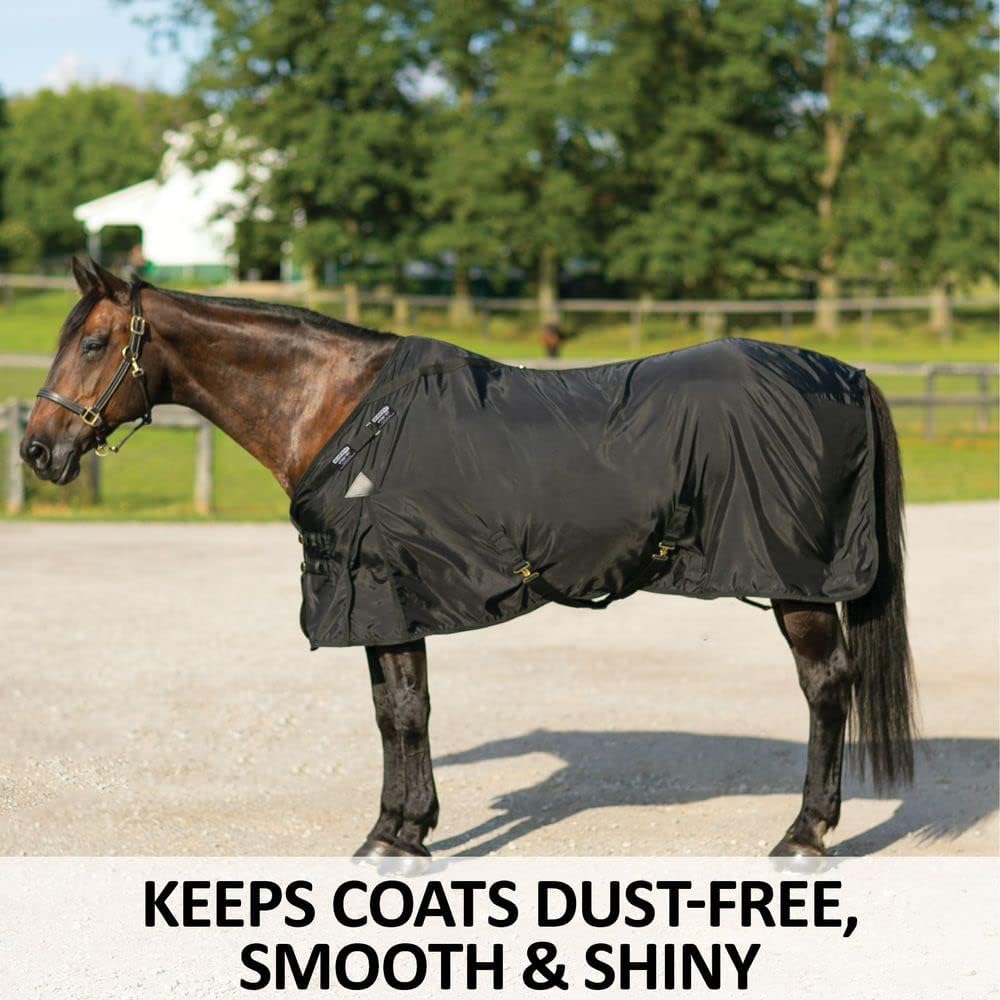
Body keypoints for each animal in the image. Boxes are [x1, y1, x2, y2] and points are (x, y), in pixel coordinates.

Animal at [20, 257, 915, 859]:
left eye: (94, 342)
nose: (37, 450)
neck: (348, 413)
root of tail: (846, 373)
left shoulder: (380, 590)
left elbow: (403, 713)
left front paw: (395, 837)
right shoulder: (382, 601)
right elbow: (396, 711)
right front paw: (402, 828)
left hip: (798, 584)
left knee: (825, 685)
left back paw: (804, 834)